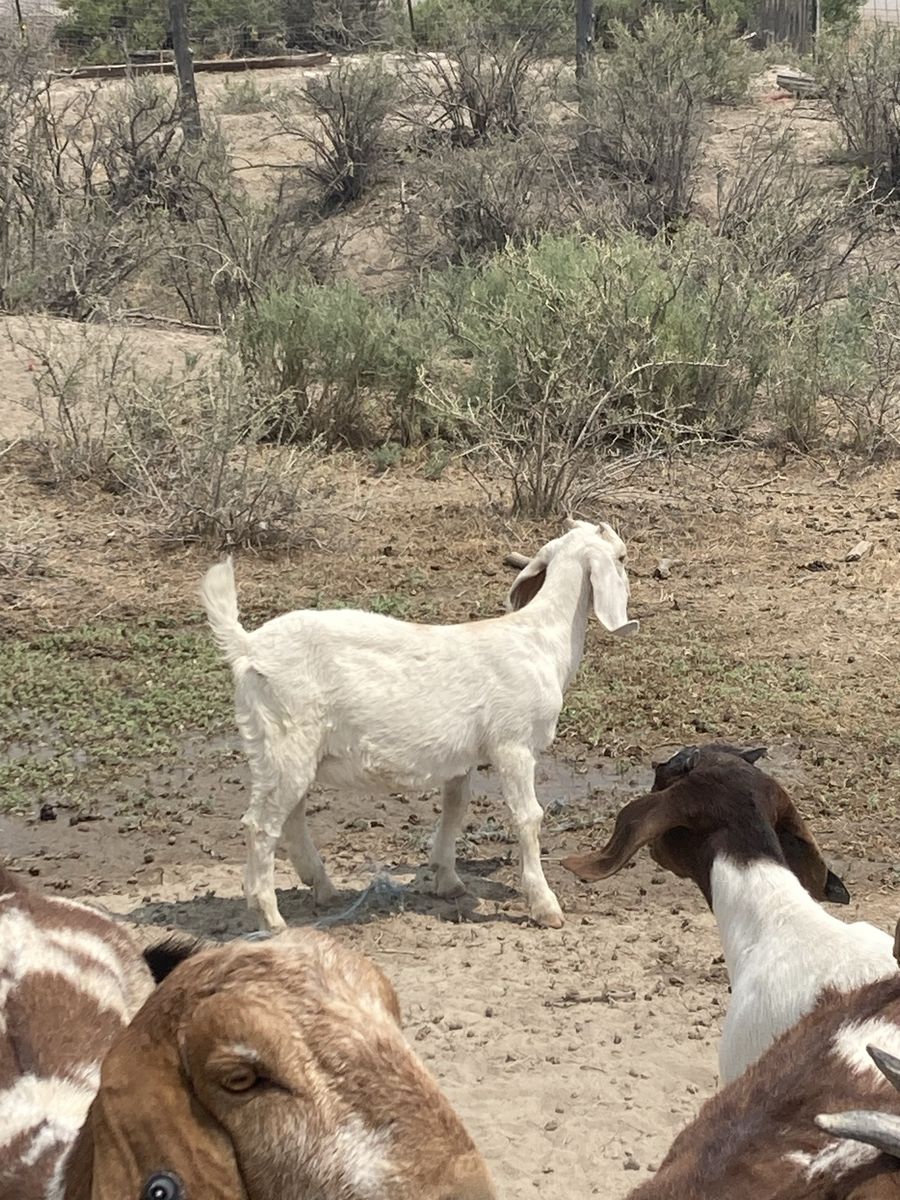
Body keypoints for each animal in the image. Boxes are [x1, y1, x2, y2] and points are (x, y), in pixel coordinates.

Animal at [200, 517, 638, 931]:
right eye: (621, 557)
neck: (541, 640)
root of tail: (247, 646)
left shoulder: (464, 756)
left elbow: (456, 806)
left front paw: (447, 879)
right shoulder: (512, 743)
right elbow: (527, 817)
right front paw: (545, 905)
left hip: (291, 748)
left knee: (289, 816)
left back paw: (322, 887)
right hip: (284, 737)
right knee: (261, 824)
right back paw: (270, 917)